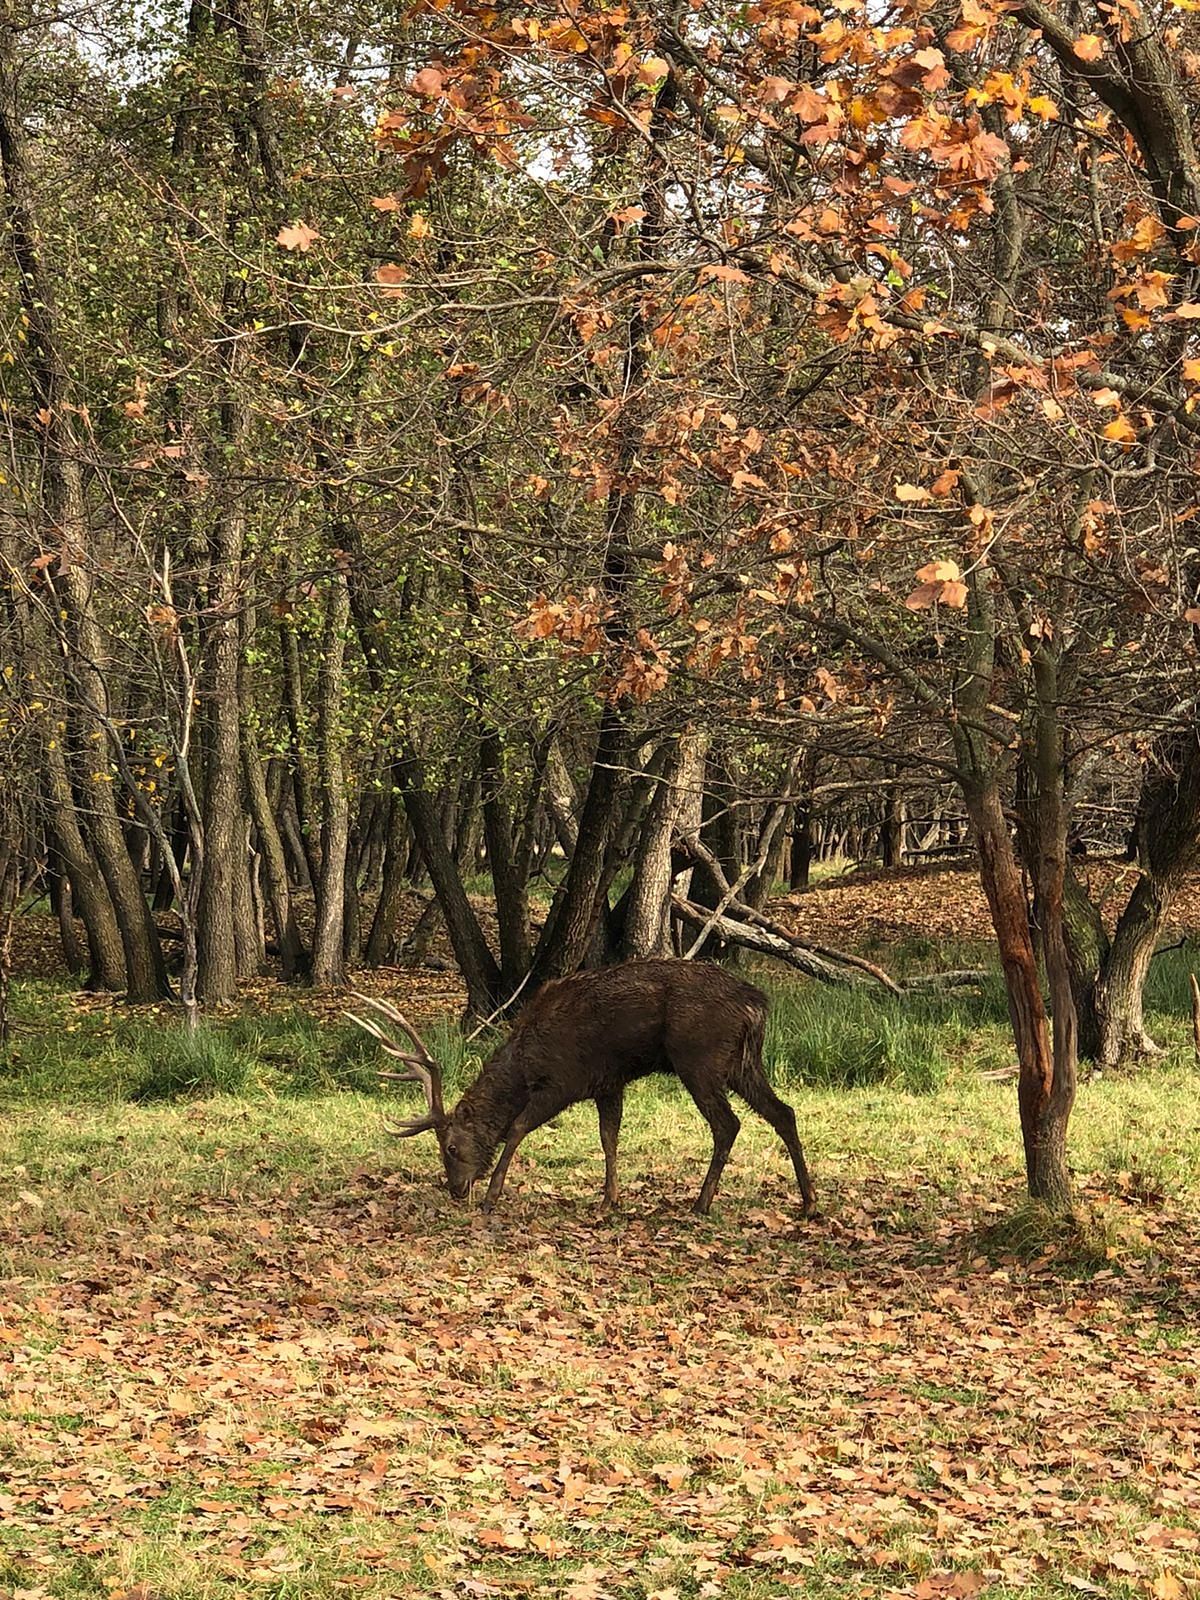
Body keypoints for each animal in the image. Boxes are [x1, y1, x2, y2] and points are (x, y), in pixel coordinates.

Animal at [347, 960, 819, 1209]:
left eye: (449, 1147)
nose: (456, 1189)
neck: (525, 1063)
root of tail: (757, 1004)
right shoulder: (608, 1083)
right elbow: (609, 1136)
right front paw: (610, 1197)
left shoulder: (564, 1080)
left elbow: (517, 1127)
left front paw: (493, 1194)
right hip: (742, 1062)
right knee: (784, 1112)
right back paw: (809, 1203)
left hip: (699, 1058)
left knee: (728, 1124)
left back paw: (701, 1202)